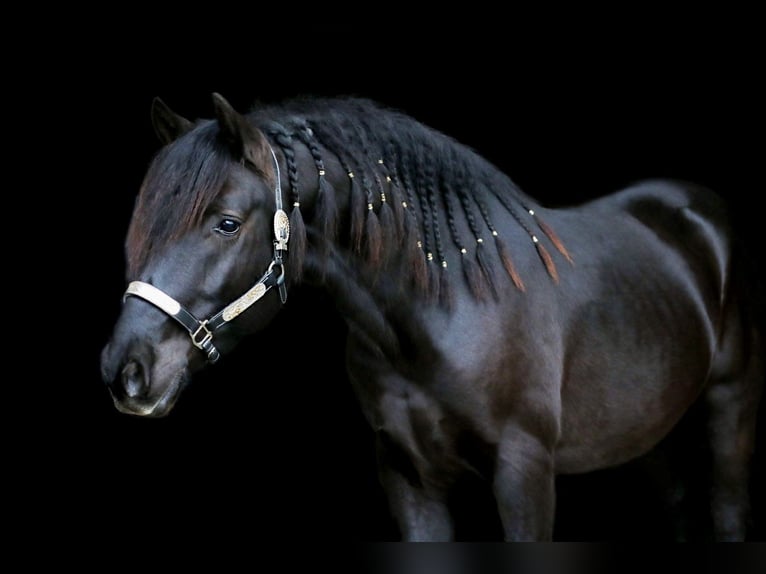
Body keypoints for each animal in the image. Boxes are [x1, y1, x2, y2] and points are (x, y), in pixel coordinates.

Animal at [100, 92, 764, 541]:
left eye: (227, 223)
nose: (125, 371)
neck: (447, 315)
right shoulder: (409, 477)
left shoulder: (525, 472)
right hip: (648, 433)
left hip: (730, 409)